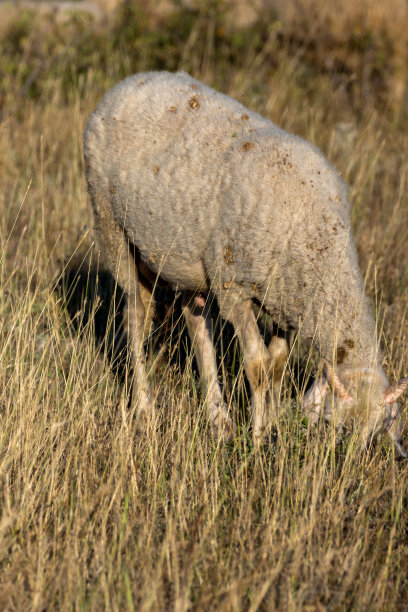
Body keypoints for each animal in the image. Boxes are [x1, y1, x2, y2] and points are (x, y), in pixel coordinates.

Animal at [83, 70, 408, 454]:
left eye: (374, 436)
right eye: (335, 425)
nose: (346, 465)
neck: (318, 248)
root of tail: (134, 80)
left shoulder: (285, 301)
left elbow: (278, 365)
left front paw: (274, 426)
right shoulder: (234, 289)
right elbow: (257, 365)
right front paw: (258, 436)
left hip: (191, 262)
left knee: (196, 324)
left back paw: (218, 420)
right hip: (112, 227)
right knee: (136, 317)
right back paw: (145, 409)